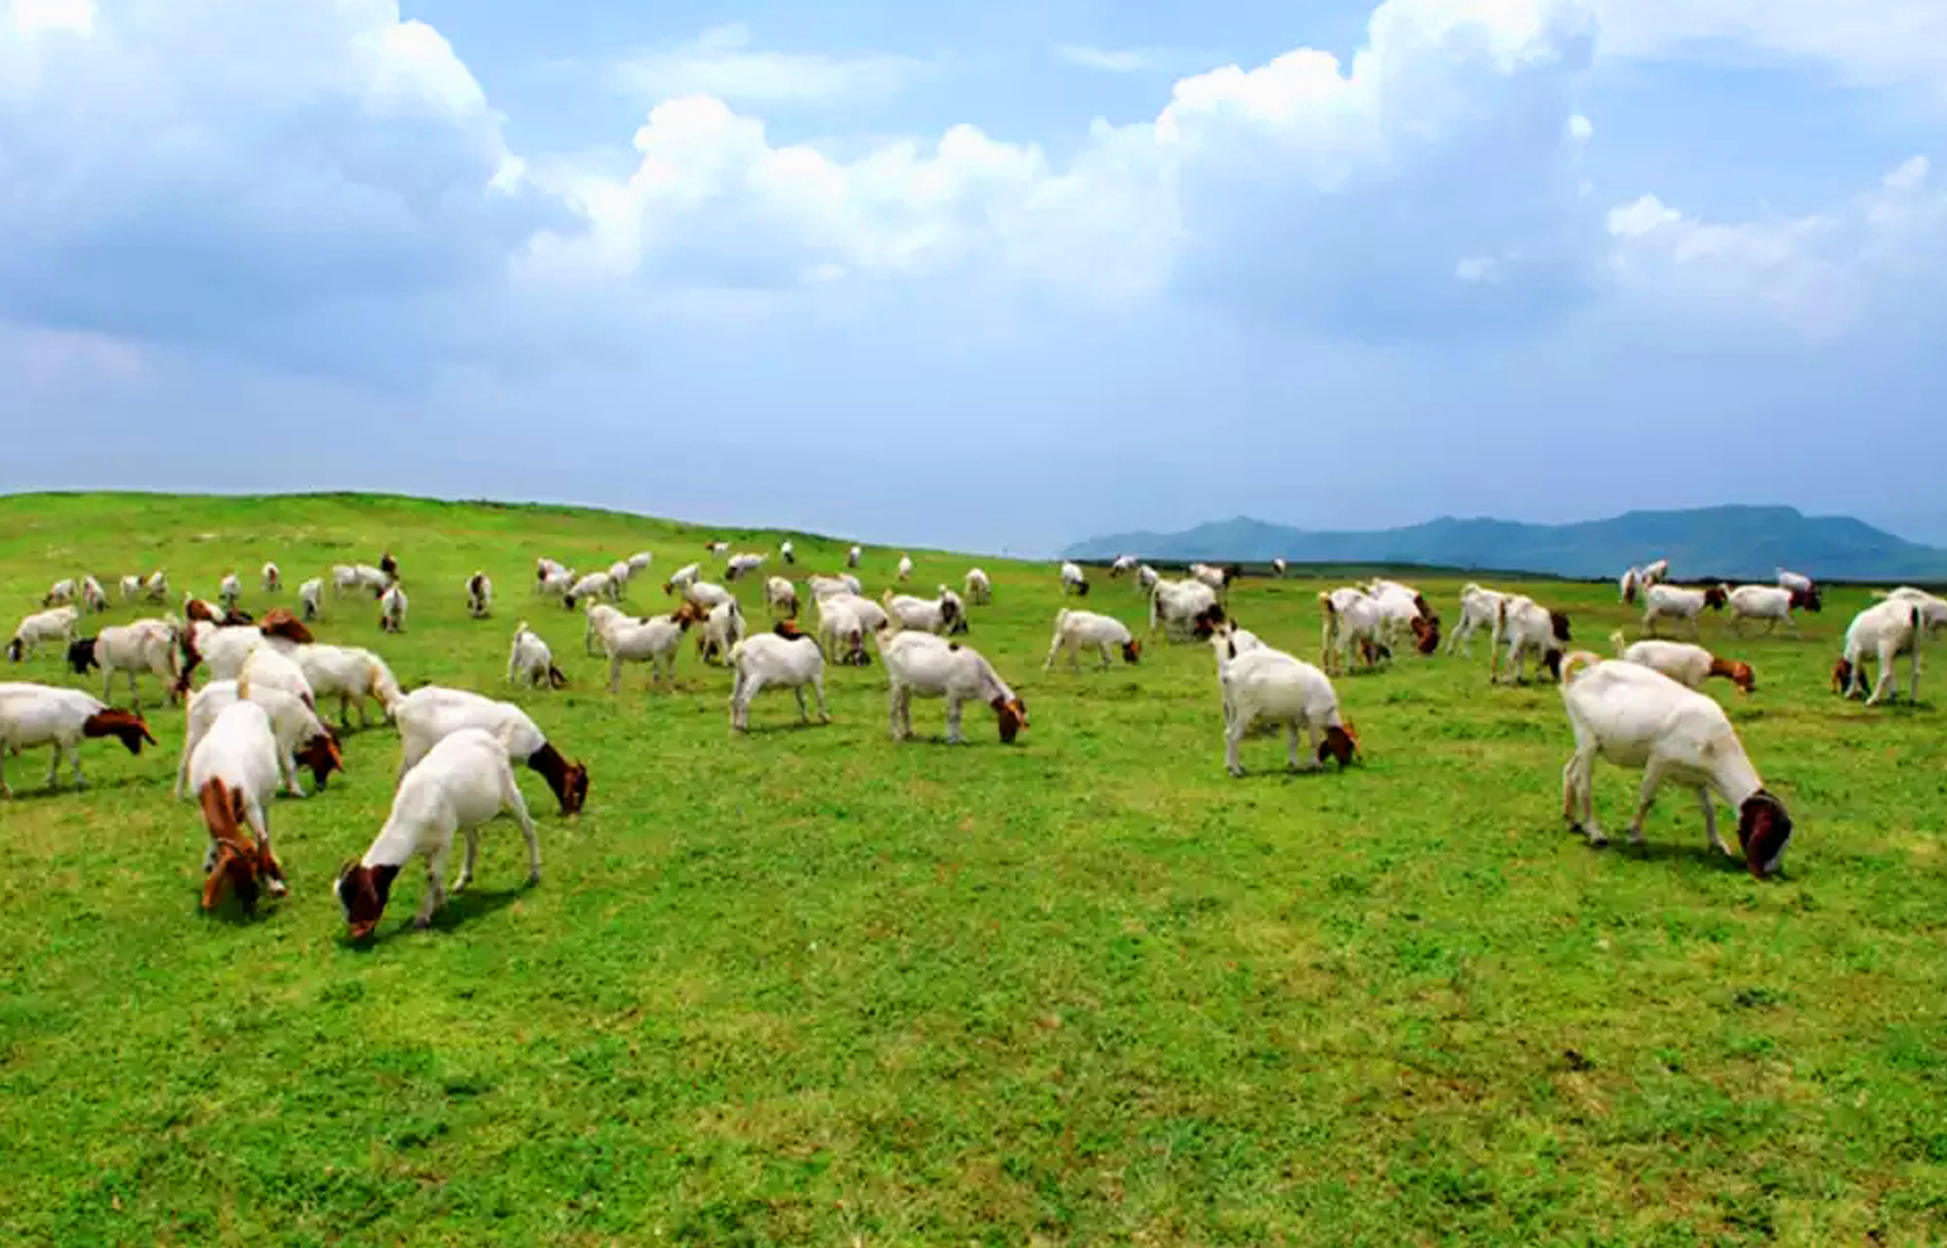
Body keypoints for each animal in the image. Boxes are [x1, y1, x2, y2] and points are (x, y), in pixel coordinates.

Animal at [883, 630, 1035, 739]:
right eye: (1012, 718)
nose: (1007, 740)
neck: (979, 673)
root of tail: (894, 641)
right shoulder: (953, 692)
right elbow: (953, 715)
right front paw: (952, 739)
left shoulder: (961, 696)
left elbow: (959, 716)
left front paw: (959, 737)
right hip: (896, 681)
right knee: (893, 708)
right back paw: (896, 735)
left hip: (907, 686)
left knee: (904, 708)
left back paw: (909, 733)